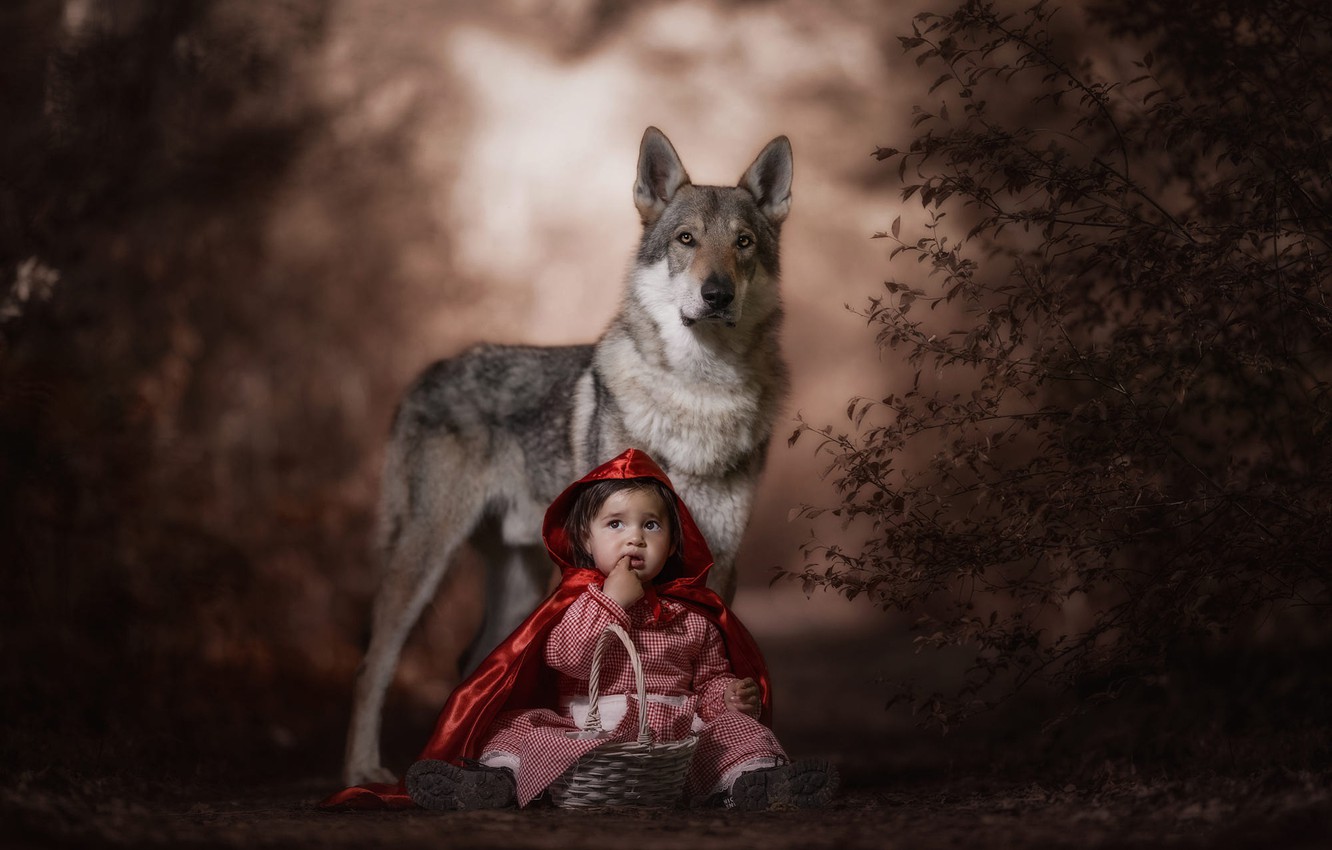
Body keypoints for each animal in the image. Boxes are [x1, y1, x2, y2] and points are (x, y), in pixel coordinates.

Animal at [344, 127, 793, 785]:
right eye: (686, 239)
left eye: (743, 243)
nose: (717, 294)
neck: (698, 394)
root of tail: (429, 370)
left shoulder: (721, 565)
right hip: (425, 557)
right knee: (372, 664)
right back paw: (363, 774)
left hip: (515, 581)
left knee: (472, 663)